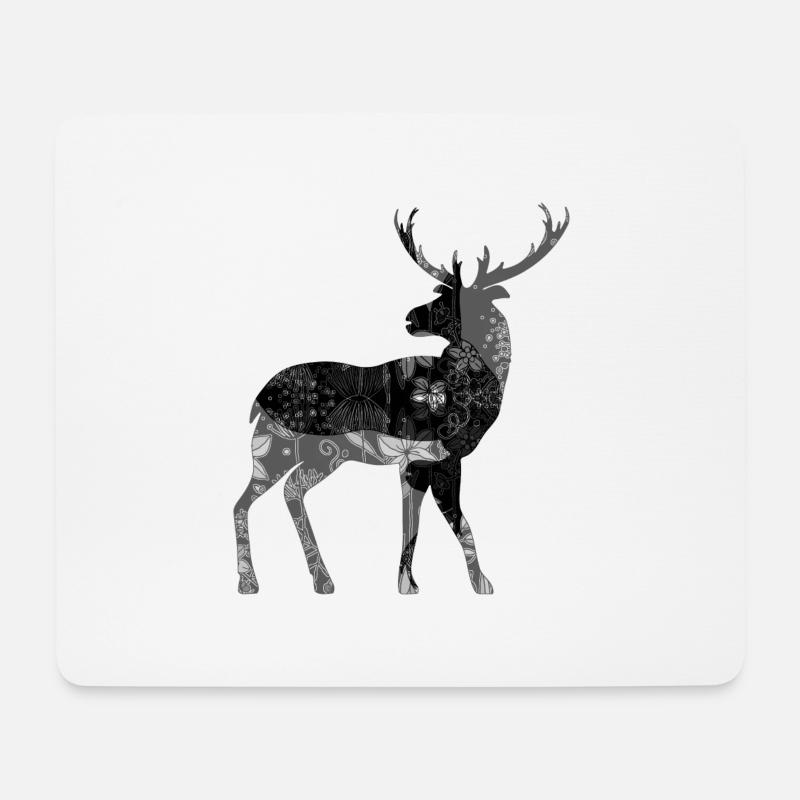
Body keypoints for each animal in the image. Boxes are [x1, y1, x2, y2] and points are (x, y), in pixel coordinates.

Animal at [233, 204, 569, 595]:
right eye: (442, 294)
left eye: (451, 300)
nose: (410, 318)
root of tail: (256, 401)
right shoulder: (427, 459)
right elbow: (442, 524)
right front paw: (448, 584)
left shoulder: (429, 461)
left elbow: (429, 522)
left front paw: (429, 583)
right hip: (276, 447)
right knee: (244, 501)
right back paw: (250, 583)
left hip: (324, 455)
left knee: (289, 491)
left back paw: (323, 581)